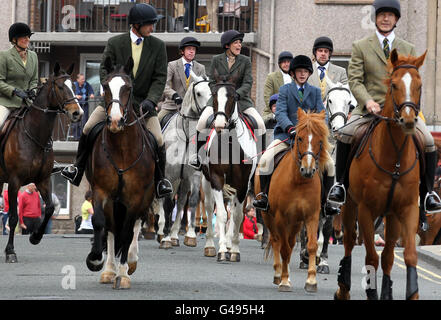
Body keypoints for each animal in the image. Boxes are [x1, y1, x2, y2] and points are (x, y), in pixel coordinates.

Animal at [2, 62, 82, 262]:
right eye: (60, 87)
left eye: (73, 85)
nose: (78, 113)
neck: (34, 134)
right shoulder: (14, 182)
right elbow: (13, 217)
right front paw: (10, 251)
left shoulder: (43, 180)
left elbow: (50, 208)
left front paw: (35, 237)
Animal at [85, 57, 156, 290]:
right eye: (106, 86)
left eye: (128, 88)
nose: (116, 121)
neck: (122, 149)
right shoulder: (101, 191)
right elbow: (101, 223)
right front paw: (96, 259)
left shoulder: (135, 196)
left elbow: (126, 232)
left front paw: (123, 274)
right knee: (111, 228)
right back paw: (109, 270)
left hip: (144, 198)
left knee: (135, 225)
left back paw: (131, 262)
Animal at [155, 74, 211, 249]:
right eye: (198, 93)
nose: (210, 118)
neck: (186, 134)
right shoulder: (169, 175)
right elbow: (167, 204)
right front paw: (165, 238)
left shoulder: (194, 176)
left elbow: (191, 201)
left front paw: (190, 235)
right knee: (162, 202)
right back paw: (162, 232)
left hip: (184, 180)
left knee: (180, 203)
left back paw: (174, 235)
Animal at [254, 108, 330, 292]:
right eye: (299, 138)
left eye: (320, 141)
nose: (308, 170)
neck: (299, 181)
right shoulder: (281, 217)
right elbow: (284, 248)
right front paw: (284, 281)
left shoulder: (311, 216)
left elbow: (311, 245)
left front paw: (311, 281)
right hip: (269, 216)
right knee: (276, 241)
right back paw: (278, 274)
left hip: (295, 221)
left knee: (288, 241)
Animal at [334, 48, 426, 300]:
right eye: (393, 84)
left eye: (419, 85)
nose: (408, 120)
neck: (394, 158)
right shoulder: (366, 210)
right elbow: (371, 258)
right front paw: (372, 291)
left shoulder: (407, 209)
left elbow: (406, 255)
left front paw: (410, 293)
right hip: (350, 205)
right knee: (348, 242)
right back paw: (343, 287)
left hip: (391, 216)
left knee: (387, 256)